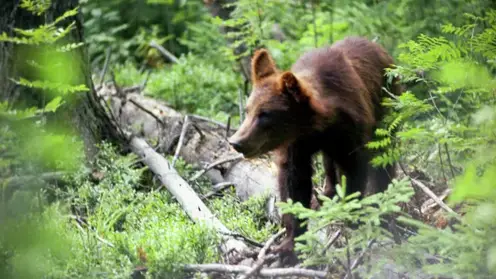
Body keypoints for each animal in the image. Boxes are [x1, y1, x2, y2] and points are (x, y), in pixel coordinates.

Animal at [229, 36, 404, 256]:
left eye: (265, 114)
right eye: (248, 110)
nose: (236, 142)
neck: (317, 127)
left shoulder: (350, 132)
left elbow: (354, 171)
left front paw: (352, 214)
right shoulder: (297, 146)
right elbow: (294, 182)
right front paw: (290, 242)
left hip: (386, 108)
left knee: (384, 157)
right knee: (329, 163)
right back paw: (327, 193)